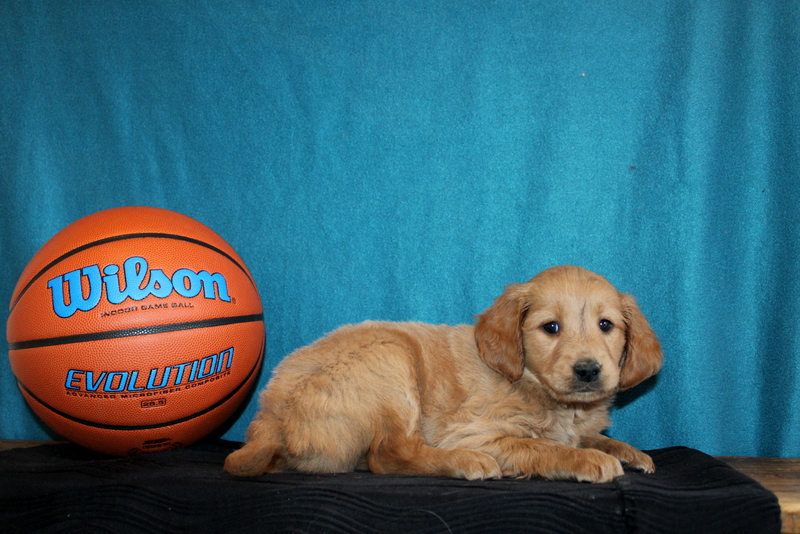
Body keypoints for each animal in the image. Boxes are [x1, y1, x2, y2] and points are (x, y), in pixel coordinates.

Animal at [225, 266, 664, 484]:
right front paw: (588, 459)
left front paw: (629, 452)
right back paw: (467, 462)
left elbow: (592, 437)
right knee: (389, 456)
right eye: (550, 328)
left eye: (606, 325)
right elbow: (543, 446)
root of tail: (270, 420)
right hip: (391, 357)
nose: (588, 370)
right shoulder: (477, 430)